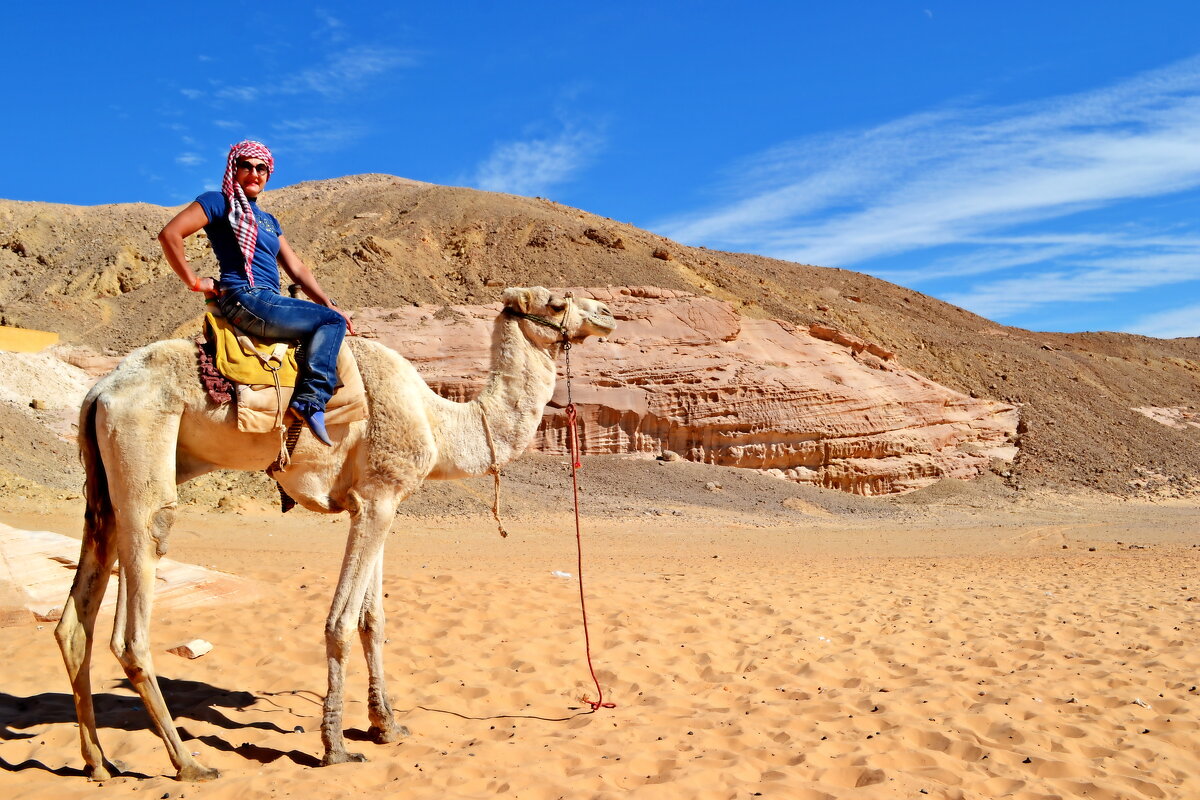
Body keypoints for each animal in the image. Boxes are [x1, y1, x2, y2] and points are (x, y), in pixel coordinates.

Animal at [51, 287, 614, 782]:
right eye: (556, 303)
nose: (607, 314)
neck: (437, 419)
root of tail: (98, 390)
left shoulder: (376, 501)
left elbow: (373, 620)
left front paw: (387, 726)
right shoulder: (378, 498)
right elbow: (340, 624)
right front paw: (336, 747)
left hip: (105, 482)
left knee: (76, 617)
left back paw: (99, 763)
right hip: (143, 452)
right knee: (133, 621)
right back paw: (189, 764)